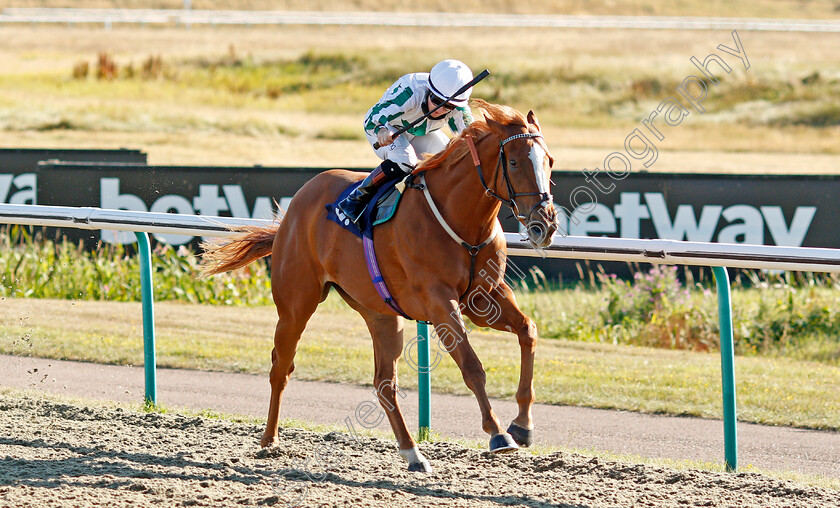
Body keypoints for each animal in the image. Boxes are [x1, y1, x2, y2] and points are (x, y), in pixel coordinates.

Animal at [202, 99, 556, 472]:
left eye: (549, 160)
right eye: (514, 162)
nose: (544, 224)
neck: (461, 219)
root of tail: (294, 207)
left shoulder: (483, 298)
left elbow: (528, 331)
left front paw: (522, 425)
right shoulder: (439, 301)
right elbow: (472, 365)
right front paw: (498, 433)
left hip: (381, 313)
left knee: (384, 383)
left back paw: (413, 452)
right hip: (296, 303)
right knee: (281, 367)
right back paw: (269, 441)